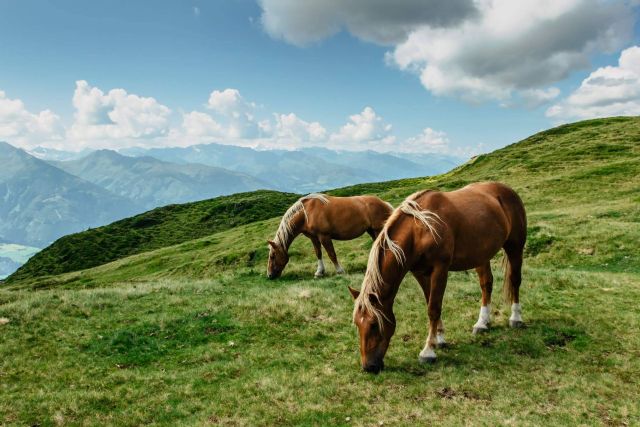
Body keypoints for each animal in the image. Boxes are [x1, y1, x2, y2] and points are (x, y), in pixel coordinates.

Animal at [266, 194, 396, 280]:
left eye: (272, 256)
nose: (269, 275)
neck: (306, 213)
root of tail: (384, 203)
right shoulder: (314, 238)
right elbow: (318, 253)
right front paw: (319, 272)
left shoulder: (324, 236)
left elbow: (331, 254)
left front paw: (339, 270)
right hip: (371, 231)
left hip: (377, 230)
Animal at [350, 183, 524, 374]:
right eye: (357, 324)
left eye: (374, 324)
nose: (369, 367)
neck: (420, 229)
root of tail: (505, 189)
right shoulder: (420, 272)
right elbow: (430, 303)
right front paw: (439, 339)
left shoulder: (440, 269)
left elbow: (433, 308)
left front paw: (428, 351)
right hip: (481, 255)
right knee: (486, 284)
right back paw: (482, 323)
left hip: (515, 246)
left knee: (515, 280)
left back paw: (516, 318)